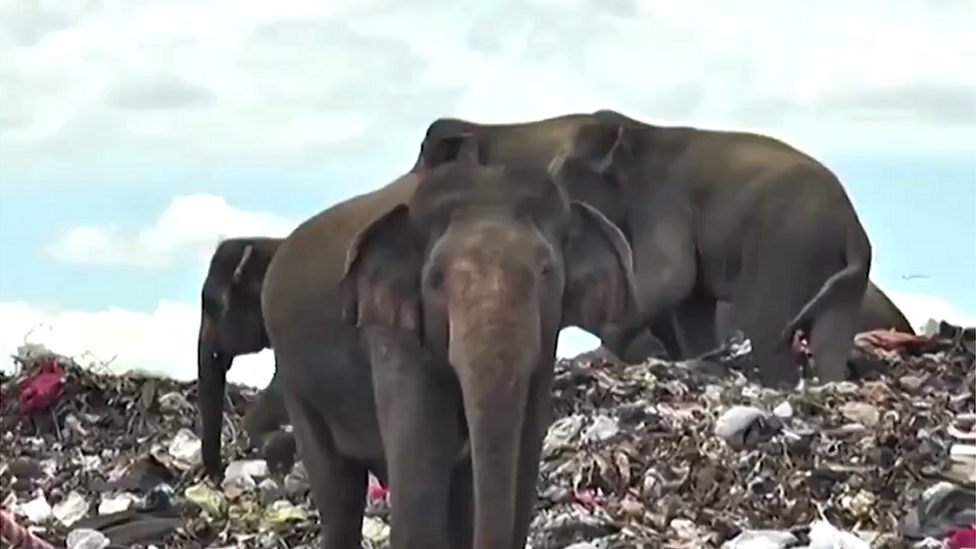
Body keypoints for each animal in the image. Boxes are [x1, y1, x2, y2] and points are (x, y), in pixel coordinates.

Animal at [262, 135, 640, 548]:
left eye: (546, 272)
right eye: (436, 279)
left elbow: (522, 459)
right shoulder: (391, 333)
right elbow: (421, 477)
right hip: (297, 383)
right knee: (340, 494)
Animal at [416, 108, 872, 386]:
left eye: (564, 174)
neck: (638, 132)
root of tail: (853, 228)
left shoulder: (664, 201)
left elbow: (674, 277)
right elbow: (690, 301)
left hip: (785, 250)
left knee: (768, 327)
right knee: (830, 333)